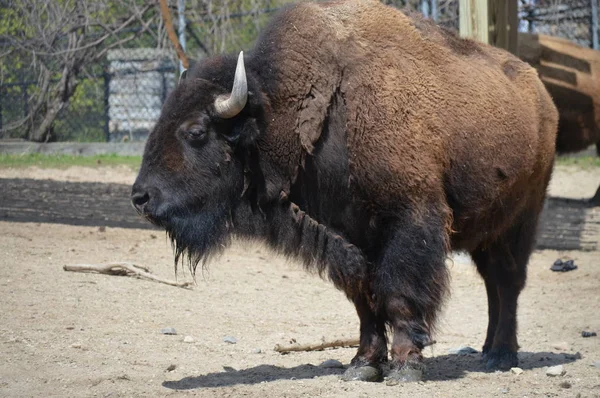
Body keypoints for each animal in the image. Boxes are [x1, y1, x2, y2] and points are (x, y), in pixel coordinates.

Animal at [131, 0, 556, 382]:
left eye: (196, 131)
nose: (140, 198)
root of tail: (542, 96)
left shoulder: (411, 220)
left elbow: (399, 294)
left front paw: (406, 367)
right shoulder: (347, 237)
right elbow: (363, 297)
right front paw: (362, 364)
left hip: (520, 222)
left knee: (508, 283)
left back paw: (501, 355)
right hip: (487, 233)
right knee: (493, 286)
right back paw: (486, 350)